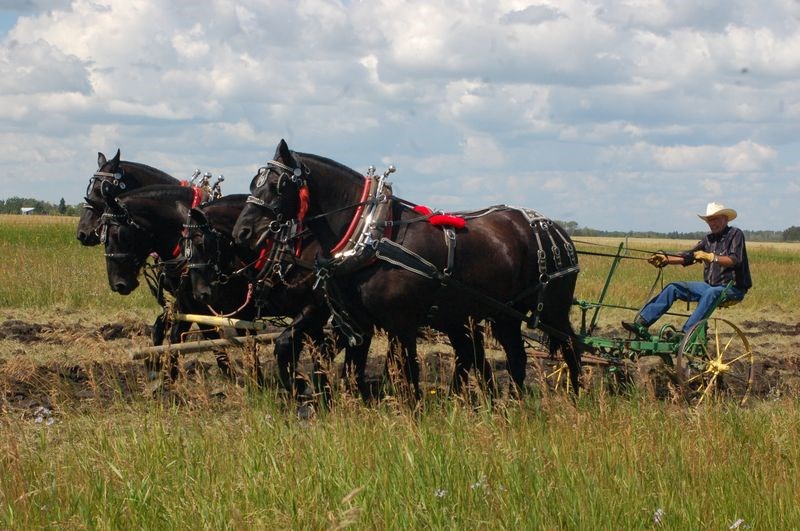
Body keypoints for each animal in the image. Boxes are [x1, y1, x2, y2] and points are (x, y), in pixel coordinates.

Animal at [234, 139, 584, 396]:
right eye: (253, 183)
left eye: (279, 185)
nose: (243, 232)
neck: (372, 237)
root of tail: (553, 228)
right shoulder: (359, 323)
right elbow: (353, 371)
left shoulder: (400, 324)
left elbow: (406, 374)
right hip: (501, 314)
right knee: (512, 356)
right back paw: (512, 402)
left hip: (551, 309)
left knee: (570, 346)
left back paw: (575, 396)